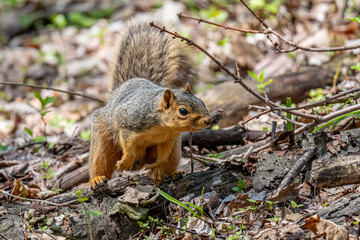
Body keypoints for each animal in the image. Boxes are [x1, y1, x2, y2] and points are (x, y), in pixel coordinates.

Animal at [88, 19, 211, 189]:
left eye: (201, 101)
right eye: (183, 111)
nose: (208, 121)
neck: (162, 127)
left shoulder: (169, 139)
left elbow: (164, 155)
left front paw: (157, 165)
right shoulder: (129, 121)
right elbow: (127, 144)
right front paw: (125, 162)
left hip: (175, 150)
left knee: (169, 160)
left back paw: (166, 173)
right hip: (103, 138)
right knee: (100, 160)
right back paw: (97, 178)